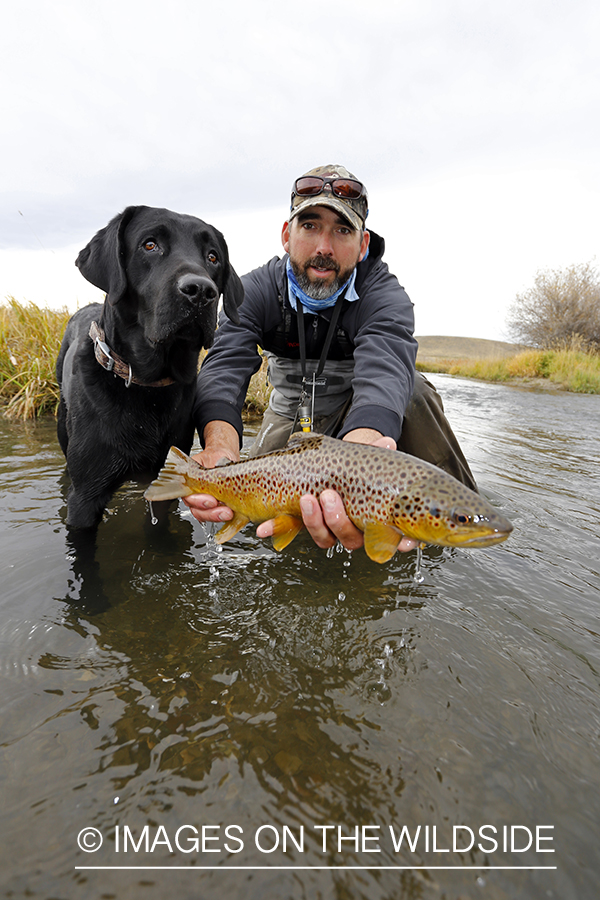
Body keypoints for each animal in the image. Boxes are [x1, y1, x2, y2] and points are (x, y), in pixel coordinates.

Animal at [56, 207, 244, 532]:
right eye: (150, 245)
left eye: (212, 256)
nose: (200, 291)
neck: (147, 385)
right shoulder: (84, 499)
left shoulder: (166, 479)